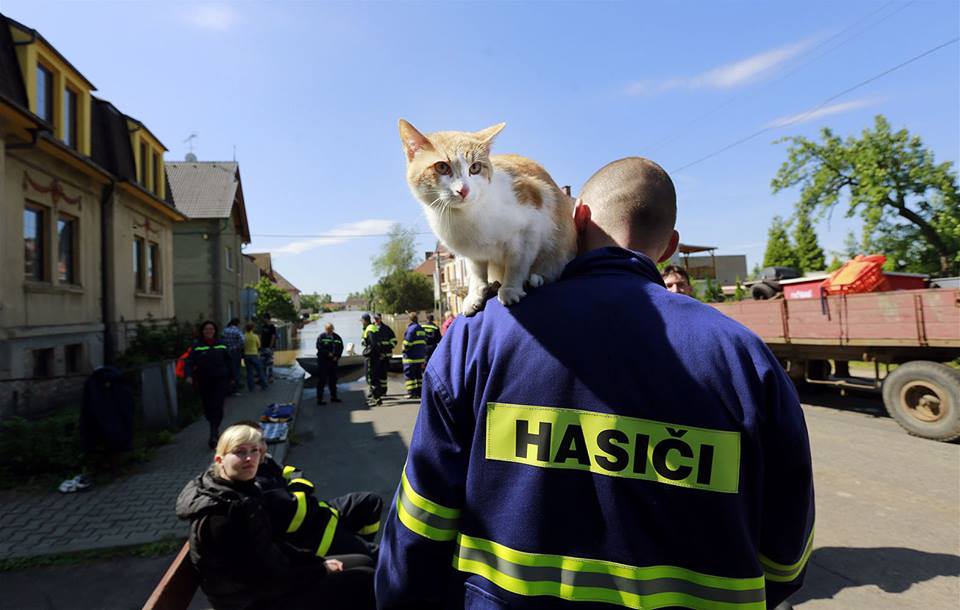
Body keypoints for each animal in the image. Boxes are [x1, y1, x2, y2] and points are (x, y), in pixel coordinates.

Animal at [400, 120, 576, 316]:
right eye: (442, 167)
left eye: (475, 167)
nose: (464, 189)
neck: (465, 215)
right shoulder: (472, 252)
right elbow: (476, 272)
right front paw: (475, 295)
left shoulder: (530, 224)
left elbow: (517, 263)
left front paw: (510, 289)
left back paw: (535, 278)